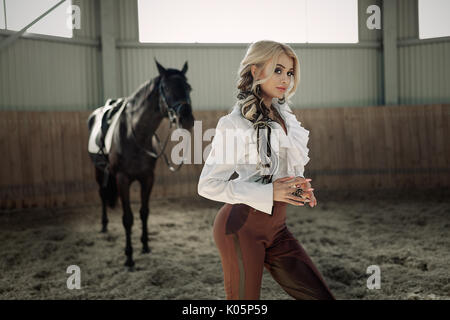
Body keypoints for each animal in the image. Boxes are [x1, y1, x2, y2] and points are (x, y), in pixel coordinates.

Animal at [87, 58, 193, 268]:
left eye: (188, 88)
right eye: (165, 88)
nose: (186, 119)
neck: (134, 134)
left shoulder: (147, 178)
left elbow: (144, 212)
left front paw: (145, 246)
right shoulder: (122, 179)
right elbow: (128, 218)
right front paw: (129, 257)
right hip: (98, 171)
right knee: (102, 194)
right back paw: (104, 226)